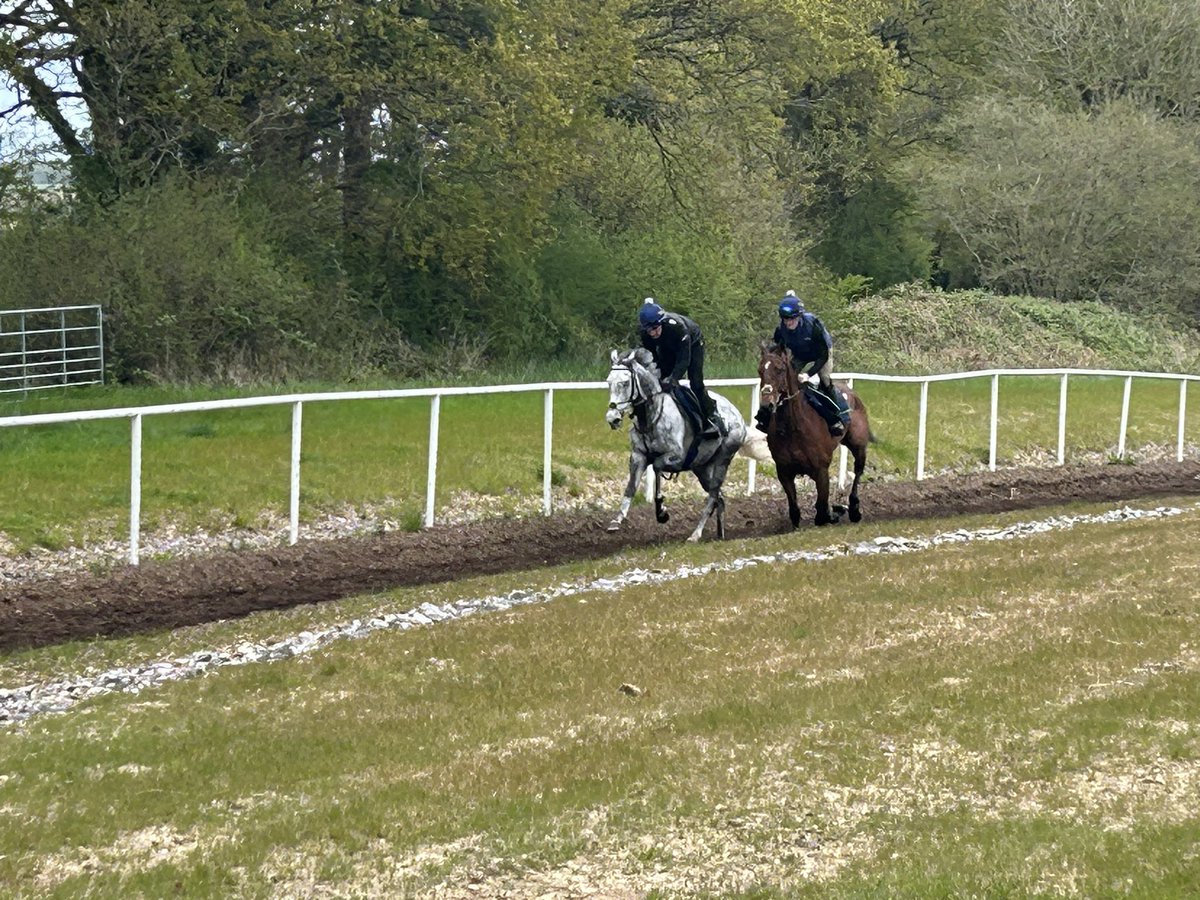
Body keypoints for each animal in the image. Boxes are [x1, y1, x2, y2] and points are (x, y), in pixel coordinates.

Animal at [604, 348, 763, 542]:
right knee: (720, 497)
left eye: (625, 383)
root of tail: (738, 418)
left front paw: (661, 511)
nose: (612, 418)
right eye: (609, 382)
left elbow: (657, 466)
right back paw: (720, 534)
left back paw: (695, 535)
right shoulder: (638, 456)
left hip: (723, 460)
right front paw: (616, 521)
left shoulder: (677, 456)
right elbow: (631, 488)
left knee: (712, 496)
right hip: (702, 468)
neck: (650, 417)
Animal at [758, 345, 873, 528]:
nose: (766, 405)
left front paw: (835, 512)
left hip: (858, 444)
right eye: (760, 371)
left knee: (858, 471)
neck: (793, 428)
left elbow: (821, 509)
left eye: (779, 369)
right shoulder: (783, 471)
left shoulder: (821, 469)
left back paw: (854, 509)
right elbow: (794, 509)